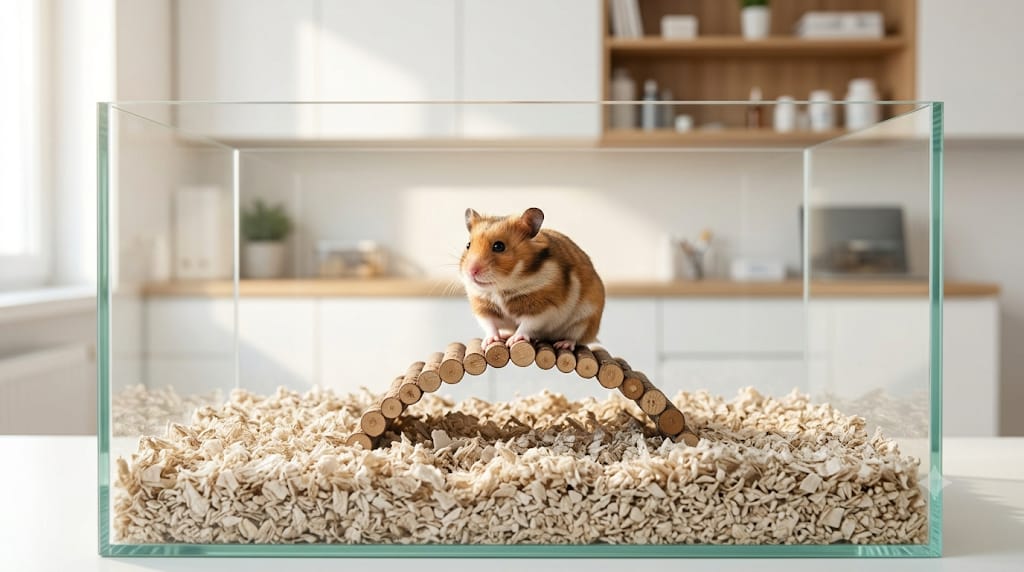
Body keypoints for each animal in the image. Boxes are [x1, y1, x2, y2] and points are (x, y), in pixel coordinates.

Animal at [459, 207, 605, 351]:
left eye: (499, 246)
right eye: (468, 245)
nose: (471, 271)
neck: (501, 287)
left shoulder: (543, 308)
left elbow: (527, 325)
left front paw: (513, 340)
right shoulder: (483, 308)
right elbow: (489, 325)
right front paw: (490, 341)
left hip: (584, 320)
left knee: (575, 338)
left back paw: (563, 344)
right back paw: (505, 334)